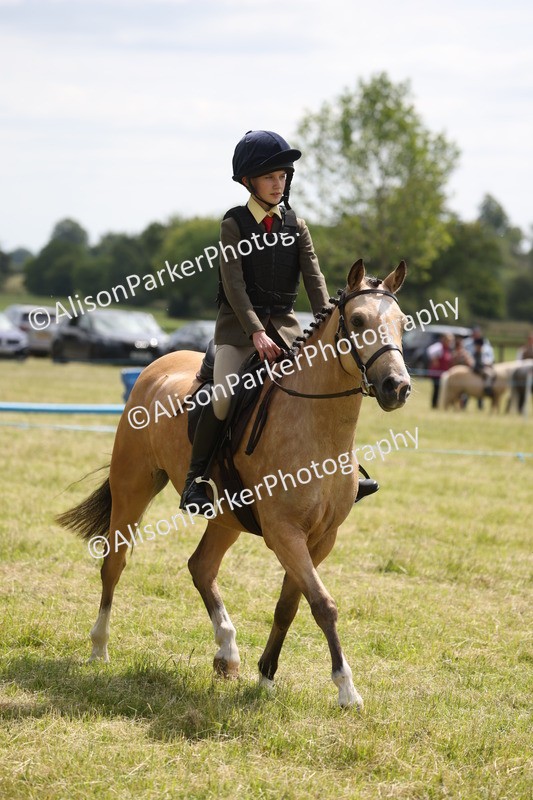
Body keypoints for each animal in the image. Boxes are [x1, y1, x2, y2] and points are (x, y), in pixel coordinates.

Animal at [57, 259, 411, 708]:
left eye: (403, 323)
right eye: (359, 320)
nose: (397, 387)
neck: (319, 429)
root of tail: (156, 367)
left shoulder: (320, 538)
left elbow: (290, 604)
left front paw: (266, 677)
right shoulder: (284, 532)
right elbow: (323, 604)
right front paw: (347, 689)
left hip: (226, 516)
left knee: (201, 567)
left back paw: (227, 653)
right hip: (133, 486)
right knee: (114, 564)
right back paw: (99, 649)